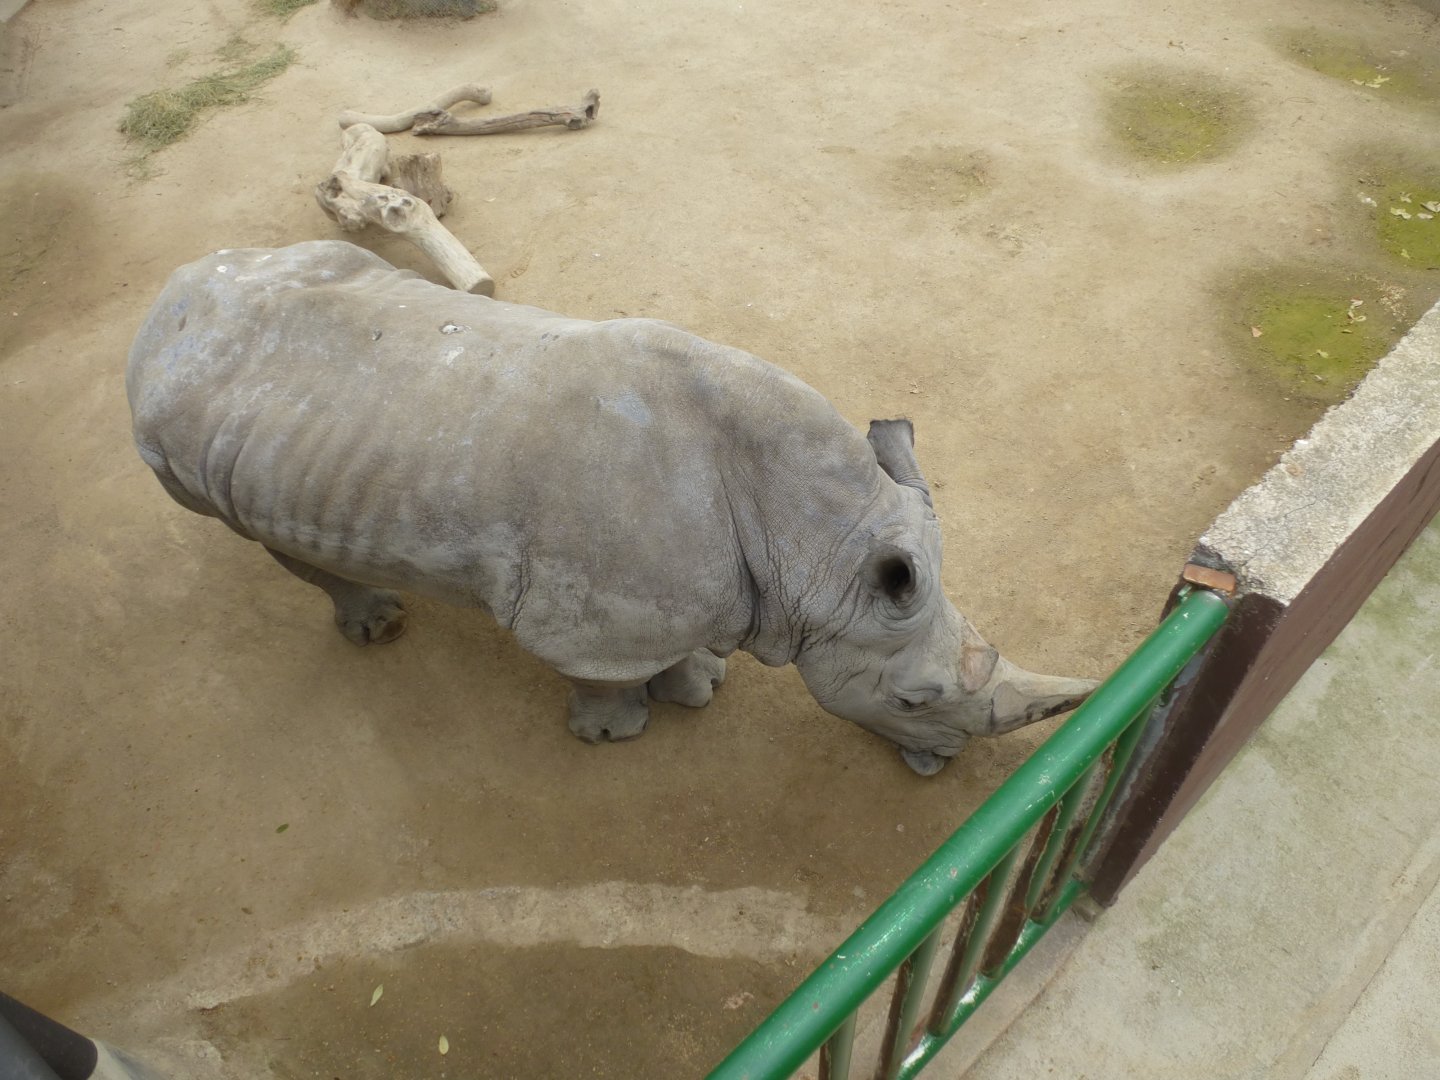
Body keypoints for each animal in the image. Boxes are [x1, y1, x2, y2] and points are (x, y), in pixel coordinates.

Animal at [126, 240, 1095, 775]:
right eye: (912, 699)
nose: (946, 764)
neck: (814, 546)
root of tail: (161, 305)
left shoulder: (694, 591)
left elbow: (676, 649)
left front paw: (698, 687)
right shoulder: (583, 618)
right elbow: (603, 674)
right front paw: (613, 735)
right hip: (167, 435)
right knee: (238, 524)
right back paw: (378, 628)